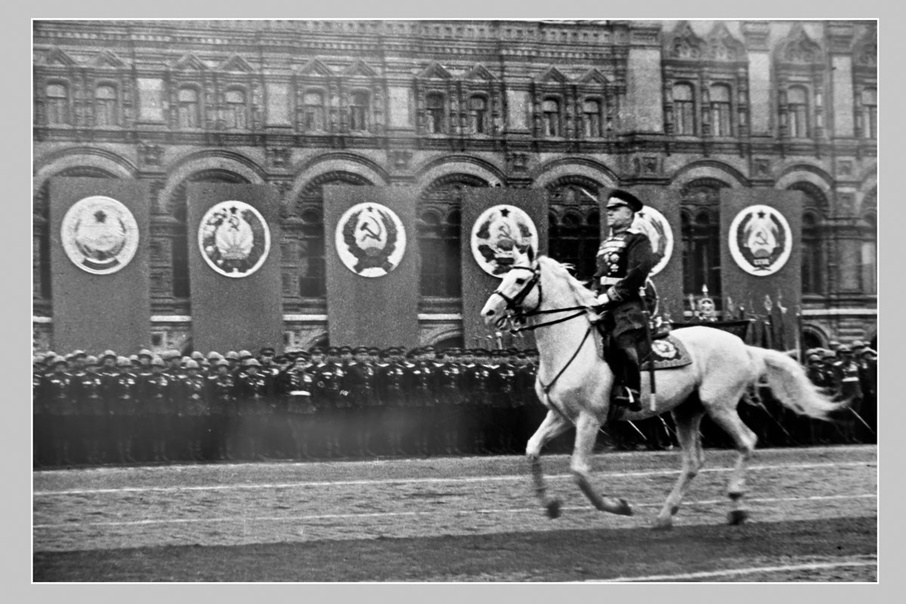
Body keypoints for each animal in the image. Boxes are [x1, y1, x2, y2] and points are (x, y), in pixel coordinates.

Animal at [480, 250, 840, 528]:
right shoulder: (560, 416)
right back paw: (666, 515)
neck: (569, 345)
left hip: (719, 405)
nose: (489, 313)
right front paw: (550, 504)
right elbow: (532, 449)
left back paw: (735, 504)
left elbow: (579, 471)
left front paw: (617, 506)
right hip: (687, 411)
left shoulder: (588, 419)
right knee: (693, 460)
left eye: (519, 280)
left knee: (747, 441)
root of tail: (744, 345)